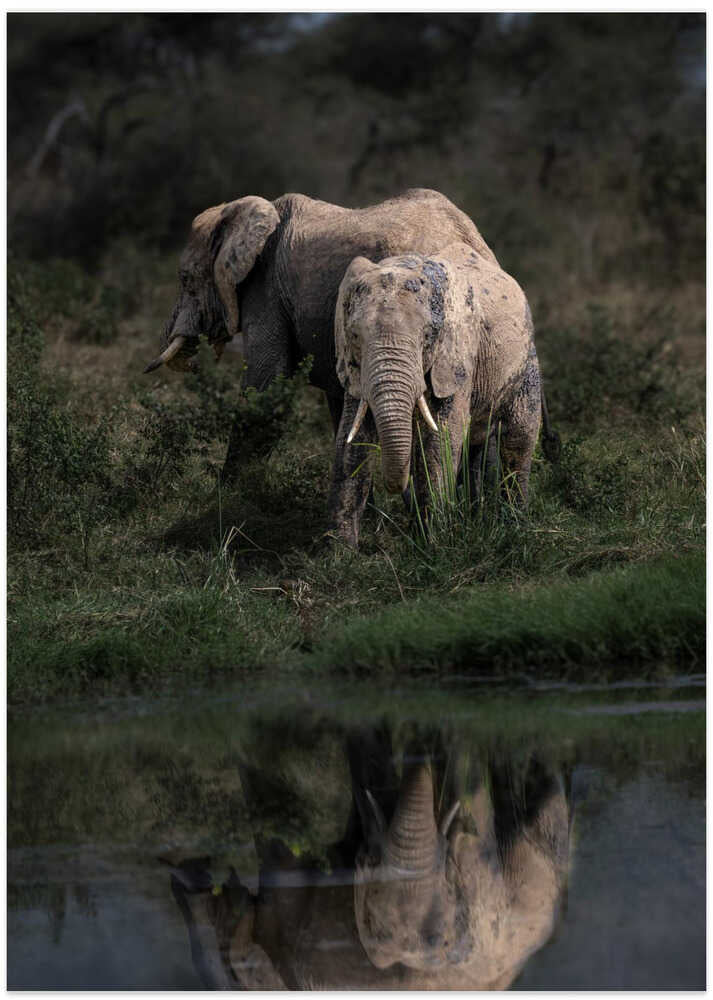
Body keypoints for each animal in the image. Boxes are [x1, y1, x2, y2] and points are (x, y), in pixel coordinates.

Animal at [334, 241, 560, 545]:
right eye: (355, 336)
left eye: (428, 336)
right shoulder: (355, 370)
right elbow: (351, 440)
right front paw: (339, 549)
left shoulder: (458, 356)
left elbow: (441, 439)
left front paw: (432, 543)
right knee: (476, 444)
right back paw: (476, 518)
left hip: (525, 360)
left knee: (518, 438)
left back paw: (514, 525)